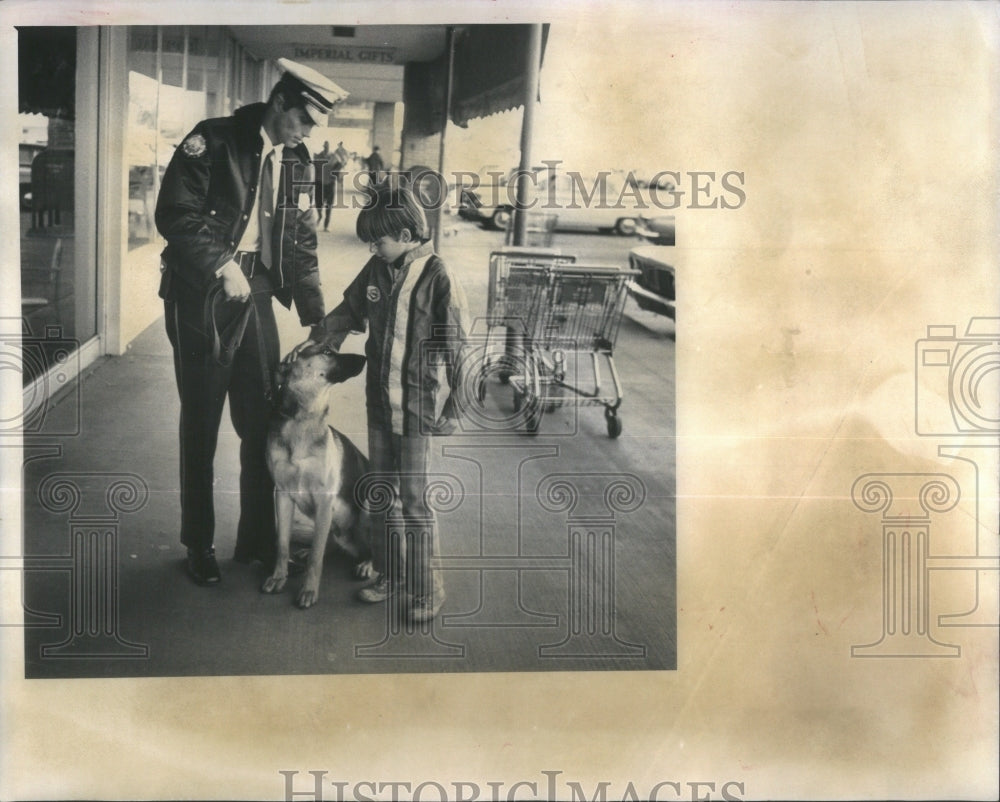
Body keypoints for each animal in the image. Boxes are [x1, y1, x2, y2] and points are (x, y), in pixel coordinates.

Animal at [262, 344, 376, 608]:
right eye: (326, 352)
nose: (365, 357)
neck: (303, 420)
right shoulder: (283, 495)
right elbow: (283, 545)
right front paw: (278, 577)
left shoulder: (325, 501)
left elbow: (316, 557)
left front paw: (308, 591)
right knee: (328, 542)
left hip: (368, 505)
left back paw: (366, 564)